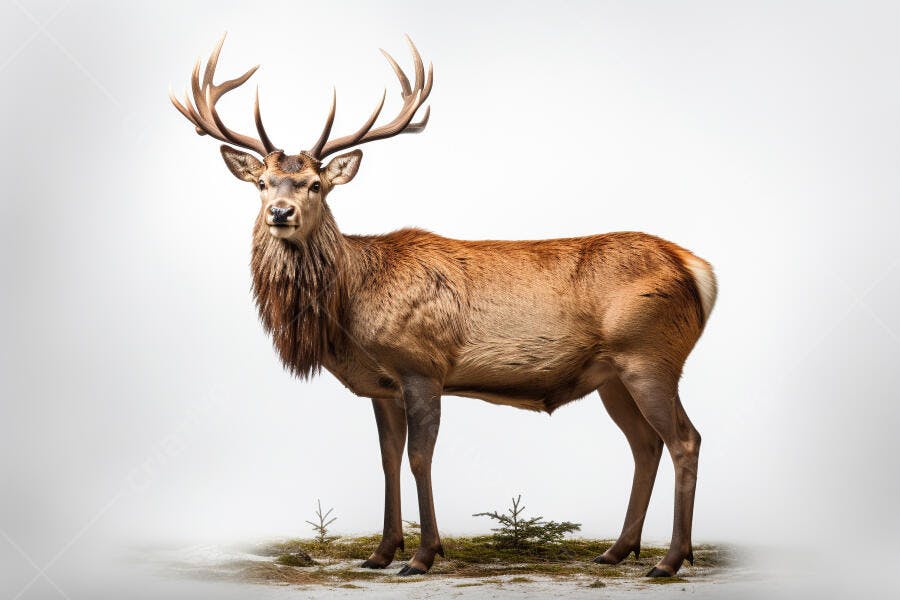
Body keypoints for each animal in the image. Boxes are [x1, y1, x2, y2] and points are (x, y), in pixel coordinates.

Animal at [170, 34, 717, 578]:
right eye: (261, 183)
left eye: (316, 185)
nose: (280, 213)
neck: (350, 307)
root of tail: (696, 269)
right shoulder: (381, 385)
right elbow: (387, 458)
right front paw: (380, 552)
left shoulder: (422, 365)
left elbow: (419, 457)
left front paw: (423, 555)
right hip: (612, 375)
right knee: (645, 445)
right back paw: (618, 550)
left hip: (649, 355)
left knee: (684, 439)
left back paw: (670, 560)